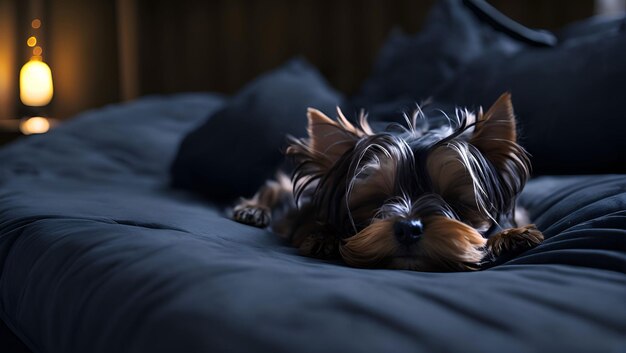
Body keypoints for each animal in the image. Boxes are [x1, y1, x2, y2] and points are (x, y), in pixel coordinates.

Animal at [233, 93, 540, 270]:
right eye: (377, 201)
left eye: (455, 202)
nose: (408, 228)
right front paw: (326, 237)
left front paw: (511, 234)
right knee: (277, 189)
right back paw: (252, 210)